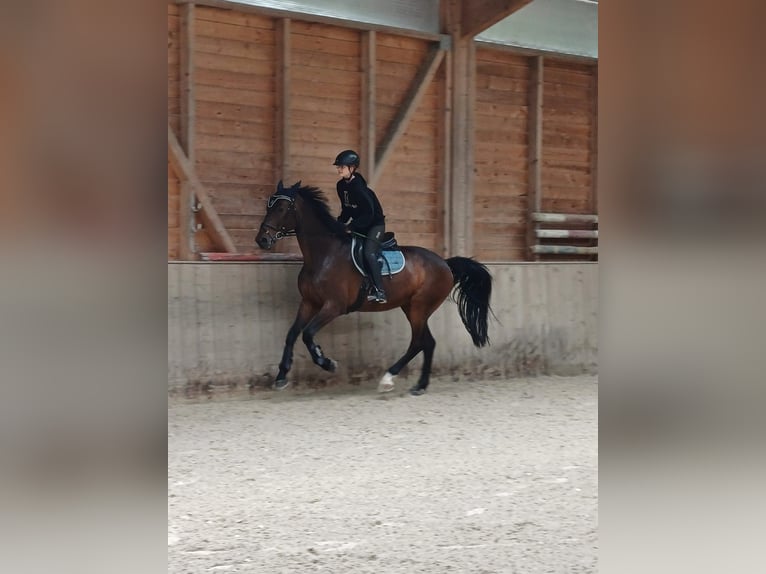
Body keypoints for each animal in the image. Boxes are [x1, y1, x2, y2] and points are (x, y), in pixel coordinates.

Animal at [255, 180, 492, 396]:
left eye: (282, 208)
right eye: (268, 206)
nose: (262, 240)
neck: (324, 255)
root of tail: (445, 263)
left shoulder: (334, 306)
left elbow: (308, 334)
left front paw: (327, 362)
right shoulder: (309, 302)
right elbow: (293, 333)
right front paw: (281, 376)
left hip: (419, 307)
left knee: (418, 342)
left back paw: (388, 378)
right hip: (411, 307)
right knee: (428, 342)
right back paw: (419, 385)